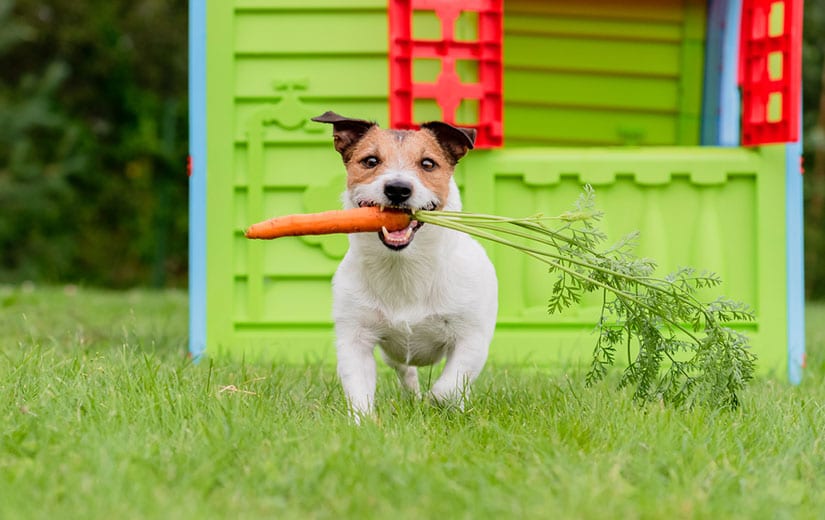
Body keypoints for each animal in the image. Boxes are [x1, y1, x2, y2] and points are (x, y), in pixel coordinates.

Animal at [312, 111, 498, 420]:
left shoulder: (472, 338)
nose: (398, 189)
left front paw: (436, 403)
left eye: (428, 163)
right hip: (392, 353)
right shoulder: (355, 337)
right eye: (371, 161)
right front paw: (363, 423)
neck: (404, 267)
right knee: (406, 371)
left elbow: (448, 386)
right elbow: (358, 388)